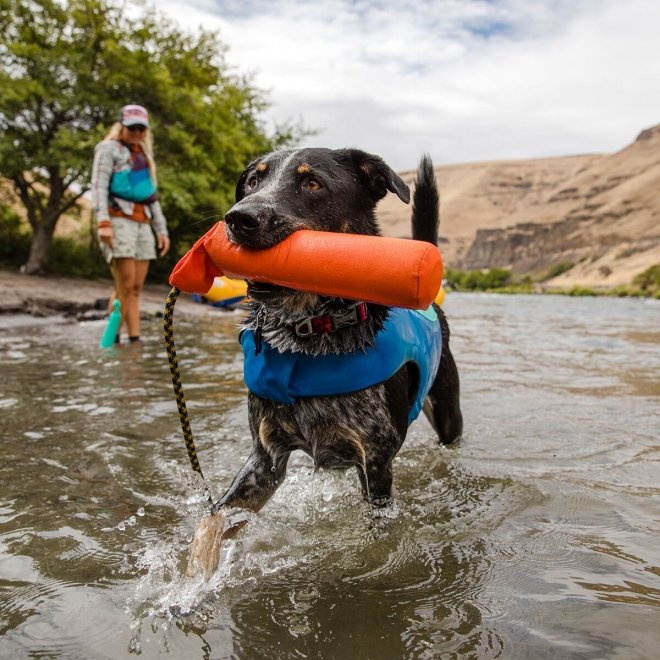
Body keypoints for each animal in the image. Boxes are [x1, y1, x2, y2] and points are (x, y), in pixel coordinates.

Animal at [187, 146, 464, 576]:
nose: (239, 218)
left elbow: (377, 536)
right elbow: (211, 521)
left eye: (313, 183)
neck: (311, 333)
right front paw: (190, 580)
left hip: (448, 414)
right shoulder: (265, 459)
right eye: (253, 181)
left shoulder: (376, 463)